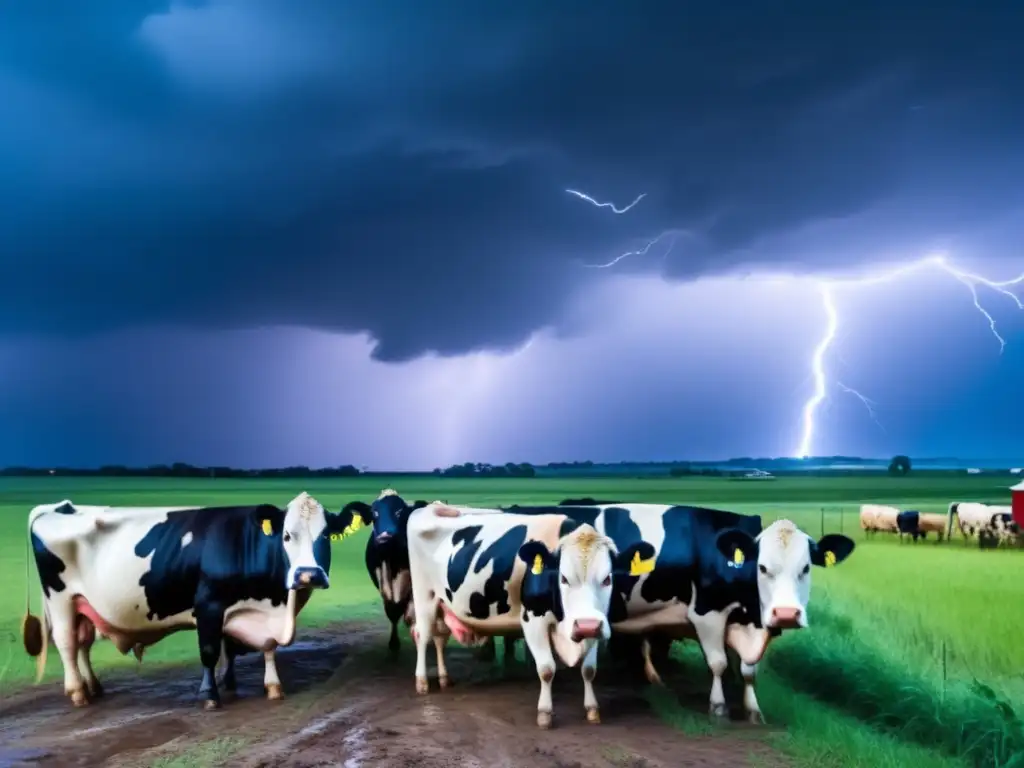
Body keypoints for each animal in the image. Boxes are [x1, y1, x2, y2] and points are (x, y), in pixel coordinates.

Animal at [22, 495, 354, 712]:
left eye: (326, 535)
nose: (308, 575)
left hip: (83, 605)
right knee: (66, 643)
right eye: (286, 535)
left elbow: (259, 647)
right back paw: (78, 693)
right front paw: (210, 695)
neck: (278, 603)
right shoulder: (208, 604)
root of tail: (58, 507)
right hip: (60, 599)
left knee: (83, 643)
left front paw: (267, 686)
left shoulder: (254, 610)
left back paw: (93, 687)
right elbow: (209, 651)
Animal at [403, 505, 651, 729]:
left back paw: (444, 678)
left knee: (439, 638)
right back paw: (422, 682)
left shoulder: (595, 623)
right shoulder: (533, 621)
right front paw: (545, 714)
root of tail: (433, 507)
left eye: (608, 578)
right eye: (563, 578)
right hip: (425, 595)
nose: (586, 625)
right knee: (423, 635)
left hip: (442, 604)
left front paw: (592, 710)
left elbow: (589, 670)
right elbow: (547, 669)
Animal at [503, 501, 856, 724]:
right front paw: (718, 706)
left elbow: (748, 670)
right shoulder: (707, 615)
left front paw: (752, 709)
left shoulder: (745, 619)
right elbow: (718, 663)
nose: (785, 614)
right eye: (763, 567)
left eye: (806, 568)